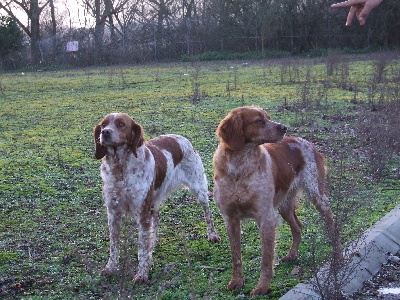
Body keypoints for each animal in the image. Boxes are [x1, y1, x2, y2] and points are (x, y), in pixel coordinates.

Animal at [94, 112, 220, 284]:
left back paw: (212, 235)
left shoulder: (142, 212)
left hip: (199, 189)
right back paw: (152, 244)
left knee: (208, 213)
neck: (120, 168)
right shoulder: (113, 212)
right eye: (103, 124)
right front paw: (111, 268)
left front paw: (142, 274)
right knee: (156, 220)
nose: (105, 133)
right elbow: (114, 245)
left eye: (121, 124)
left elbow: (141, 248)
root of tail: (181, 138)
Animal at [212, 106, 340, 296]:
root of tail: (307, 141)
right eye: (259, 120)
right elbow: (236, 256)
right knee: (298, 227)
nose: (284, 127)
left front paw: (262, 287)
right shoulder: (230, 219)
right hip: (284, 206)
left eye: (268, 117)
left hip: (318, 196)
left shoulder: (266, 218)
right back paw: (292, 255)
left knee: (332, 225)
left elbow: (266, 259)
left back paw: (338, 256)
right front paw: (237, 281)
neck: (239, 167)